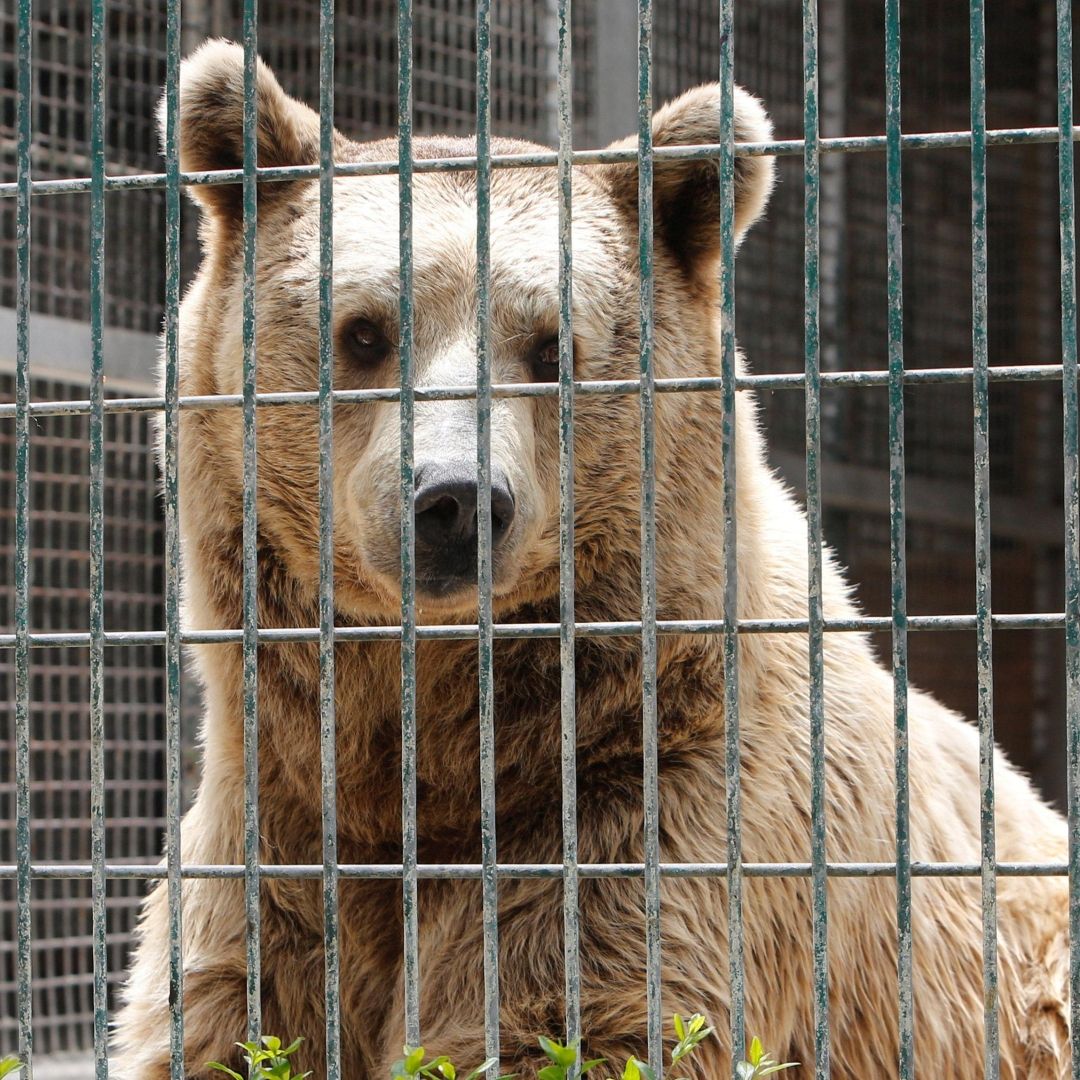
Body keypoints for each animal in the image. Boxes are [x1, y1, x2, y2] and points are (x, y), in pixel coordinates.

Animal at [111, 39, 1070, 1080]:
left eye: (550, 348)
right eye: (363, 331)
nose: (455, 499)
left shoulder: (656, 810)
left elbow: (572, 1011)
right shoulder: (274, 841)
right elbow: (225, 1017)